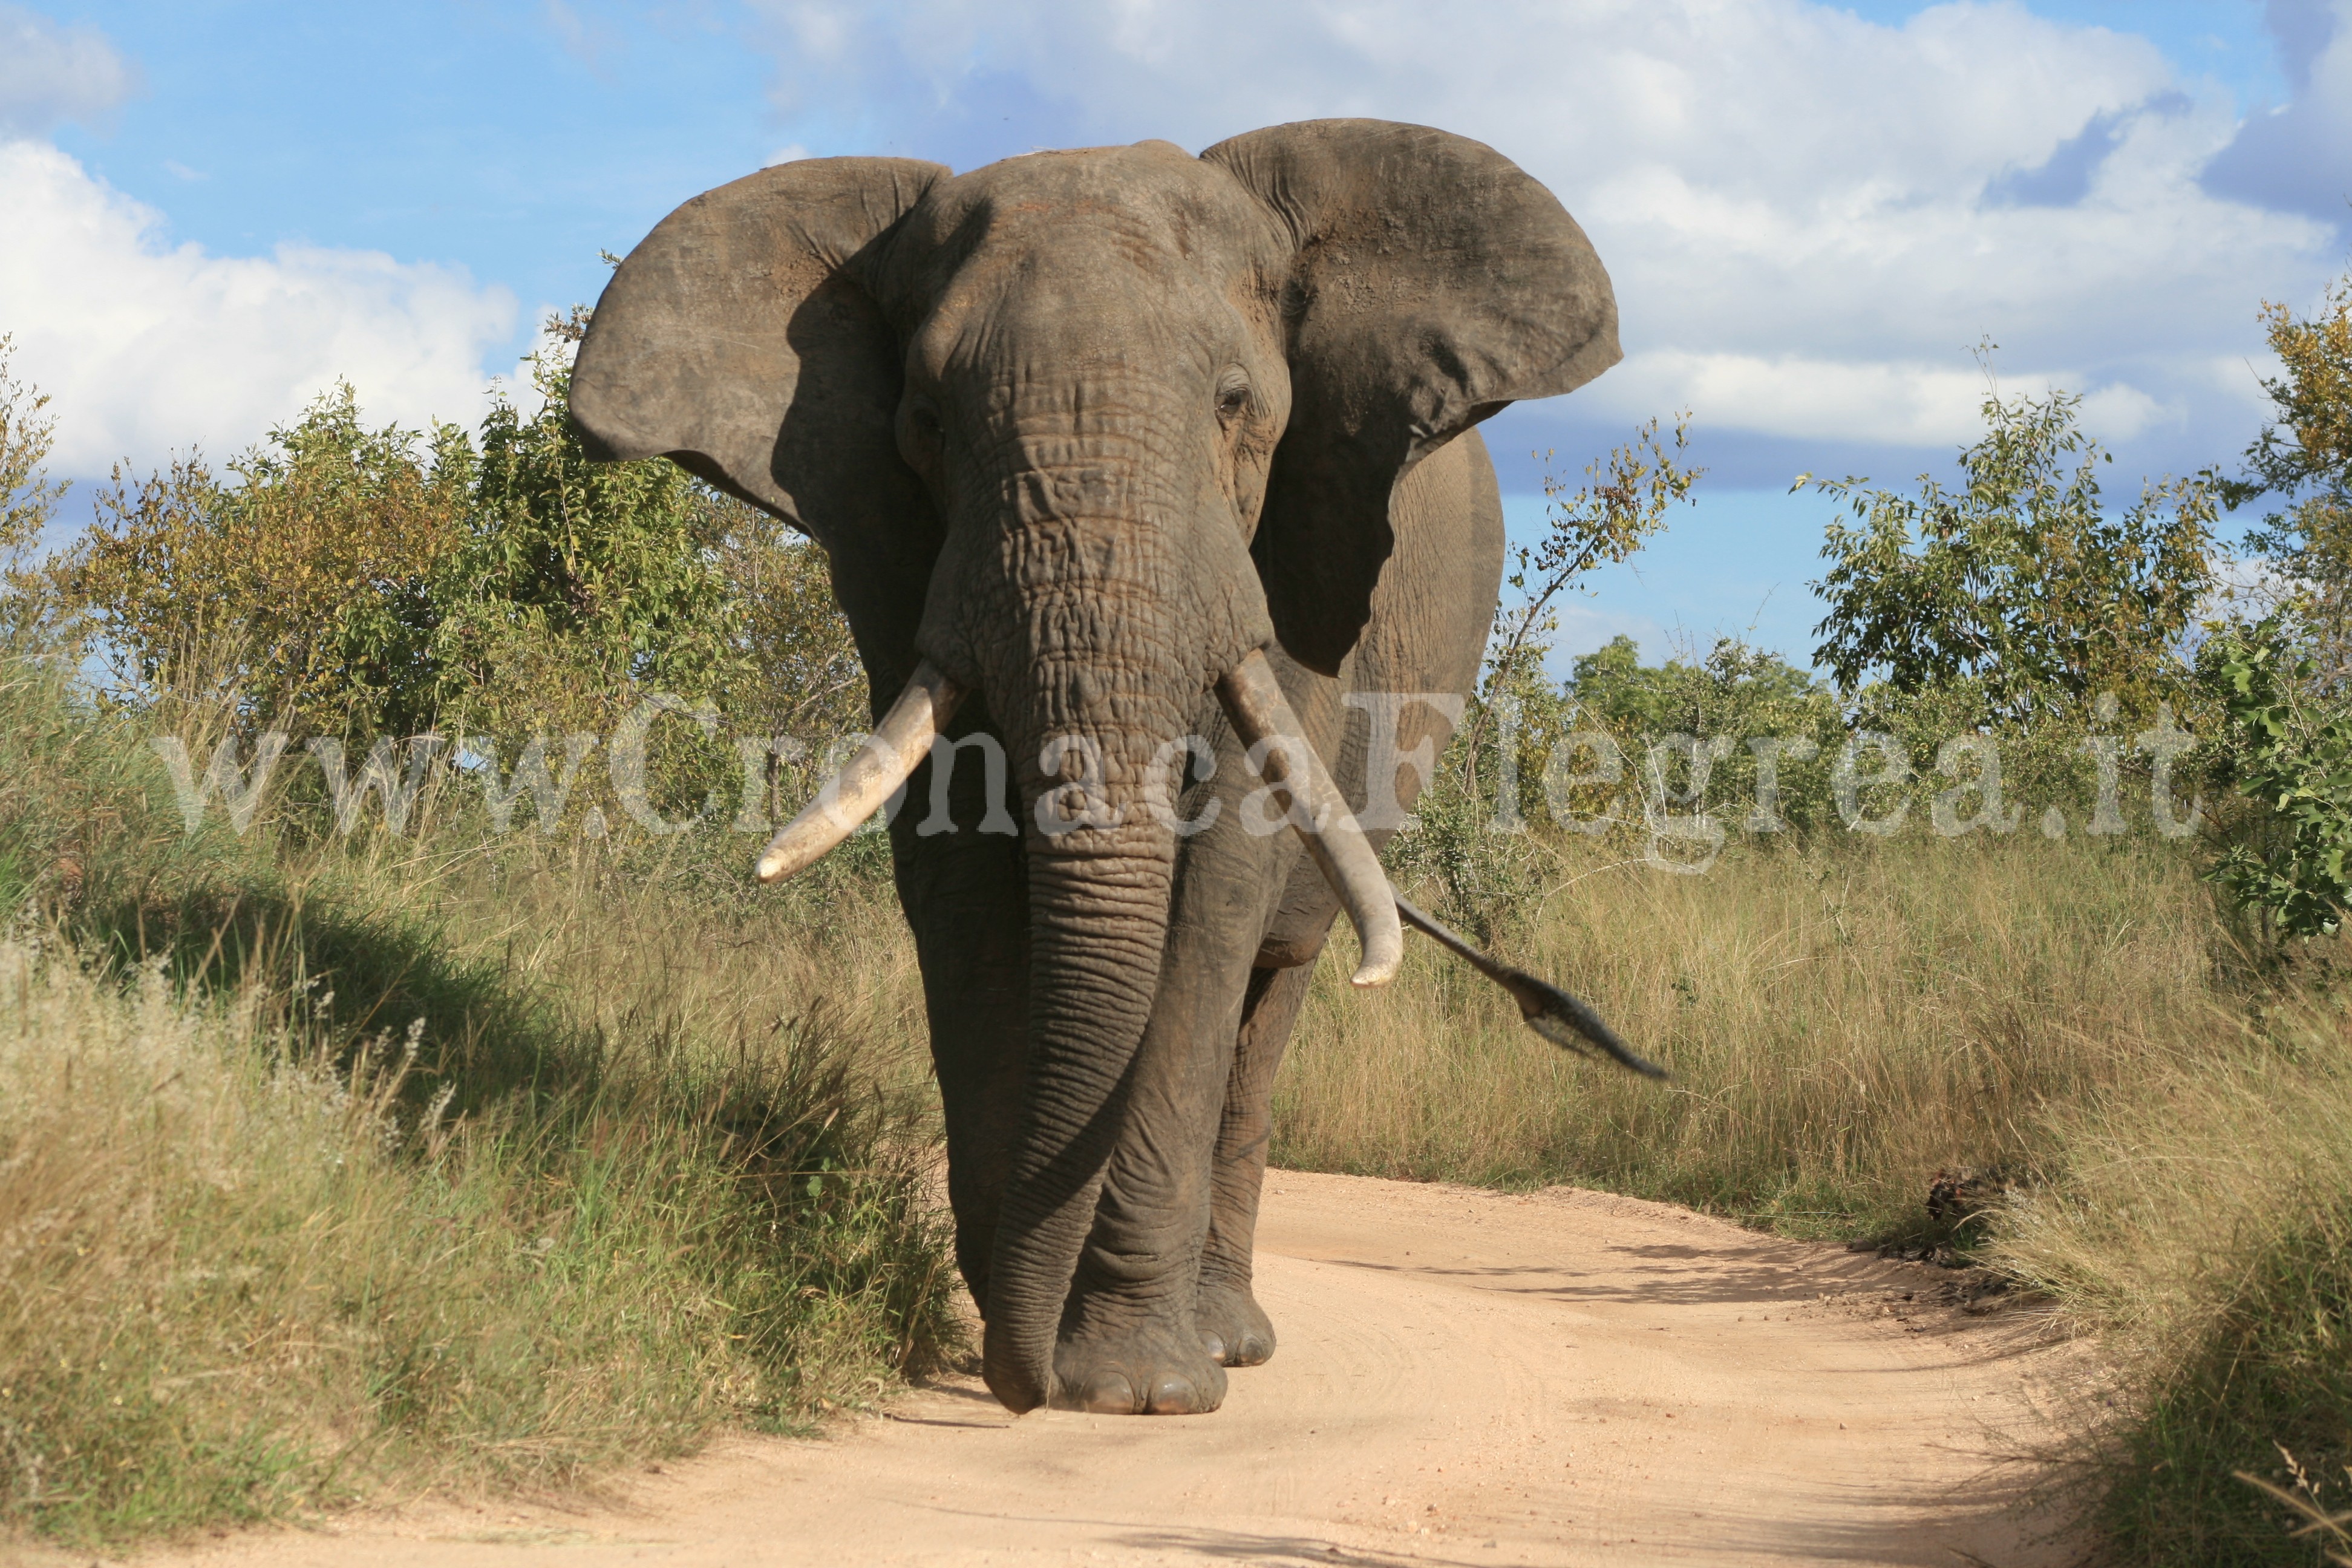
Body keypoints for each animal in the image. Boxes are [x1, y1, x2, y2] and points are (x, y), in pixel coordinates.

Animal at [573, 120, 1618, 1420]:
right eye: (926, 421)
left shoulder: (1284, 562)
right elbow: (959, 873)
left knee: (1273, 987)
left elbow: (1212, 894)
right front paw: (1024, 1336)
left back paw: (1226, 1338)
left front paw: (1135, 1387)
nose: (1024, 1381)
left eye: (1235, 404)